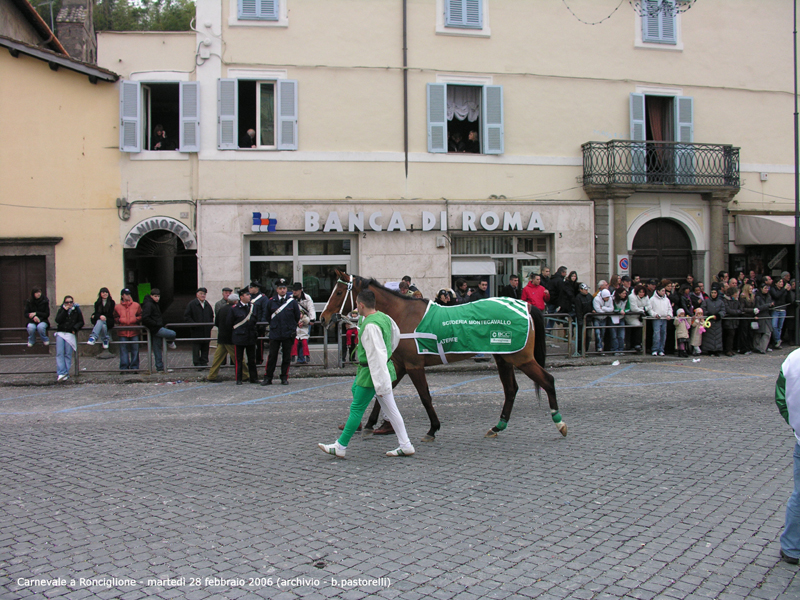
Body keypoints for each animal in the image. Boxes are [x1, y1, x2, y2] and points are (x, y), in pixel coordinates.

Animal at [316, 272, 564, 440]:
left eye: (339, 292)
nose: (323, 318)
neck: (402, 315)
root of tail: (527, 307)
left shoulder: (414, 366)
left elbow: (425, 396)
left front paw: (433, 428)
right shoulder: (401, 365)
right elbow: (381, 393)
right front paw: (369, 424)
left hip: (521, 358)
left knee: (547, 380)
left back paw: (559, 422)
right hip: (504, 358)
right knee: (511, 389)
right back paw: (497, 427)